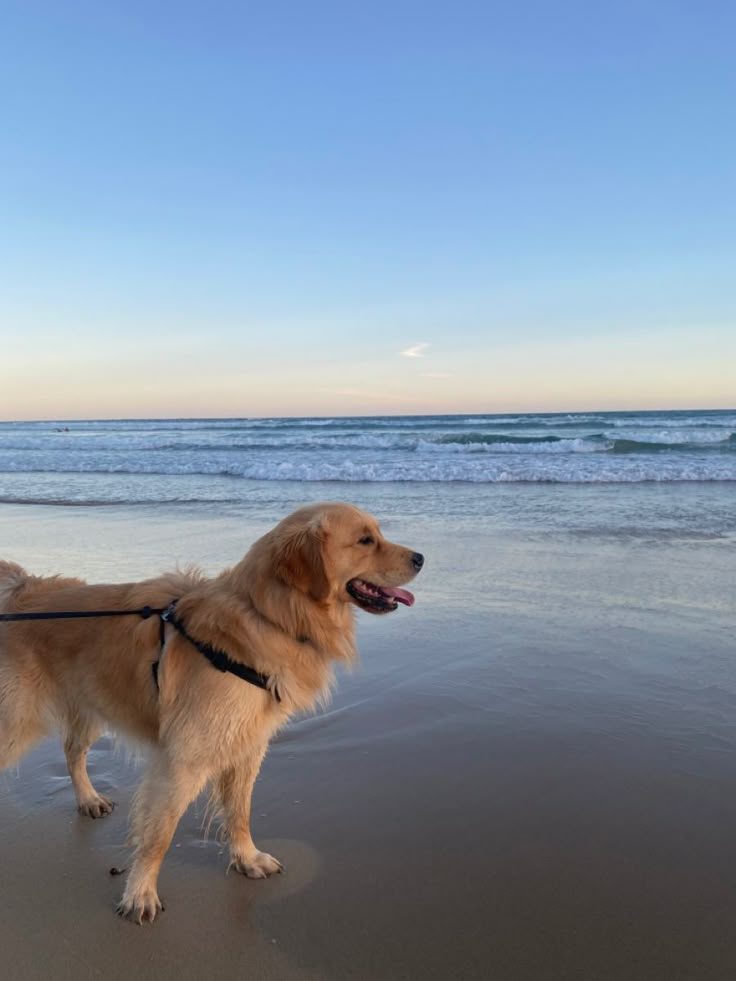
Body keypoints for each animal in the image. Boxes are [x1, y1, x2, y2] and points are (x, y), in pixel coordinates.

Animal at [0, 502, 422, 924]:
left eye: (378, 533)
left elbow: (240, 811)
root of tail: (22, 589)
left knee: (73, 752)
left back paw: (88, 799)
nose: (420, 558)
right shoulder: (184, 756)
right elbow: (159, 834)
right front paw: (140, 892)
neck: (268, 615)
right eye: (365, 540)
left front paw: (247, 857)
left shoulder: (248, 746)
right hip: (18, 721)